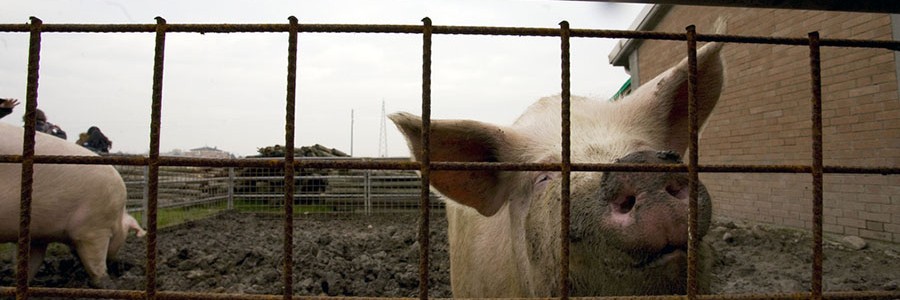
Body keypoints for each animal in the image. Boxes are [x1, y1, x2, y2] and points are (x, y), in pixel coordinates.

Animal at [0, 122, 144, 288]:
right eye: (125, 236)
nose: (118, 265)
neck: (118, 216)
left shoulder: (37, 237)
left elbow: (31, 262)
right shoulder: (95, 228)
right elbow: (95, 261)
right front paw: (106, 285)